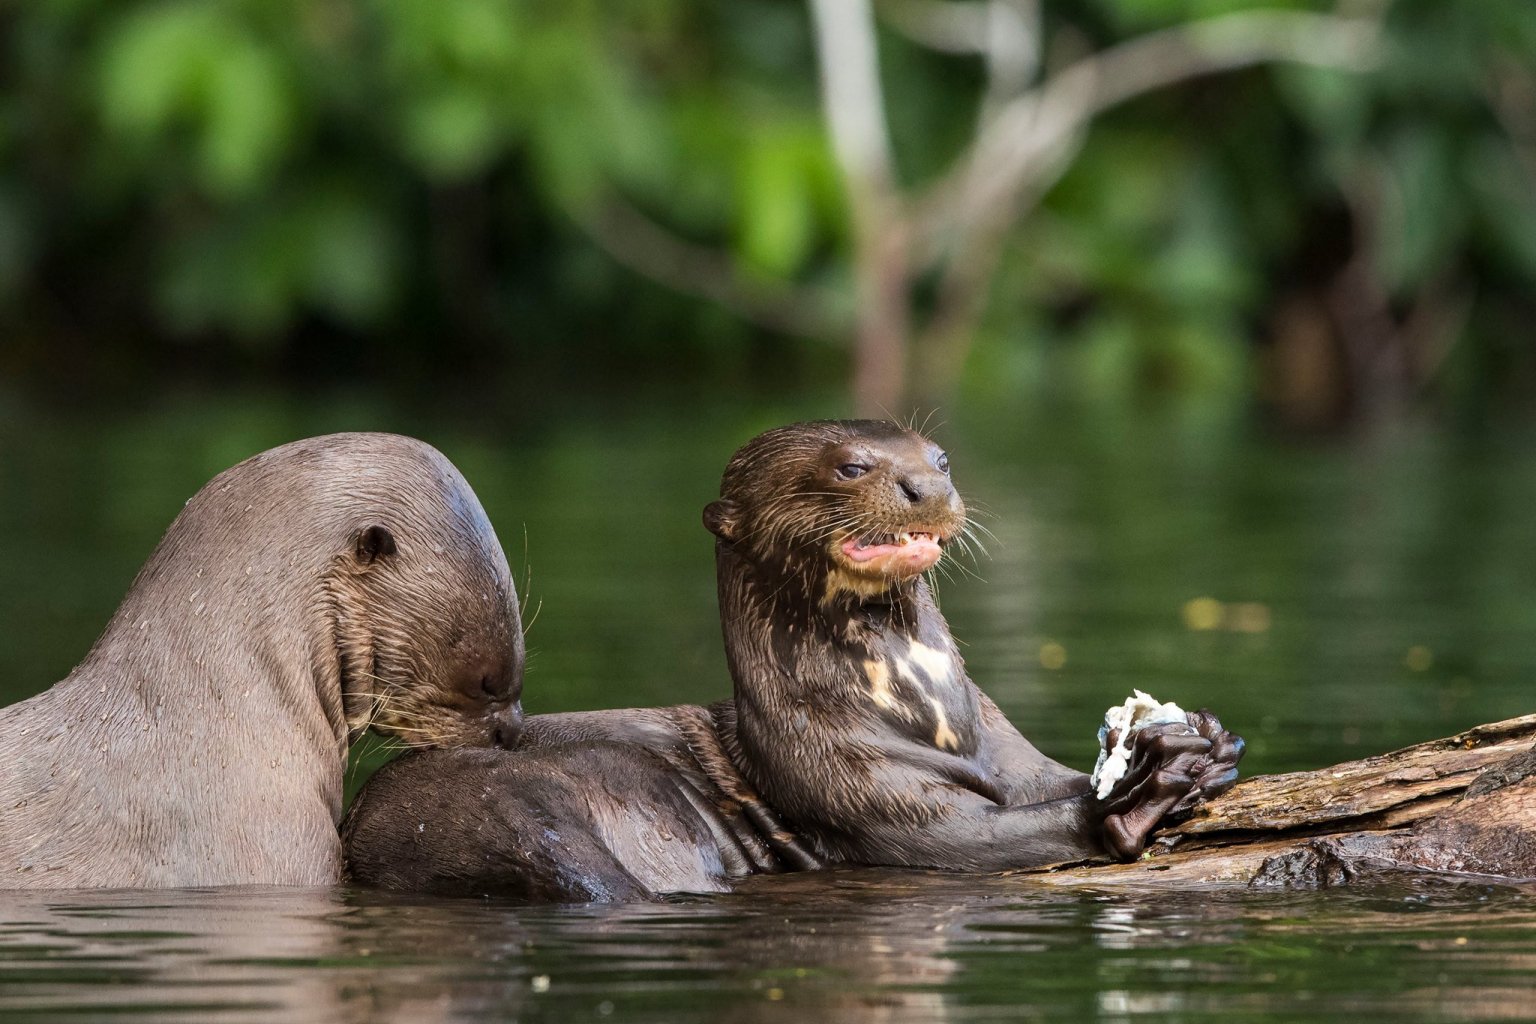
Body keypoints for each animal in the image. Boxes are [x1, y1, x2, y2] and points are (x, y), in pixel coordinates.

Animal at [343, 420, 1242, 899]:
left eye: (940, 458)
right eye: (852, 467)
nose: (927, 488)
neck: (922, 712)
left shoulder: (1009, 754)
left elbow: (1046, 781)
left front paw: (1203, 738)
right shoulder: (844, 781)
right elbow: (960, 838)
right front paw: (1135, 795)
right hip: (523, 802)